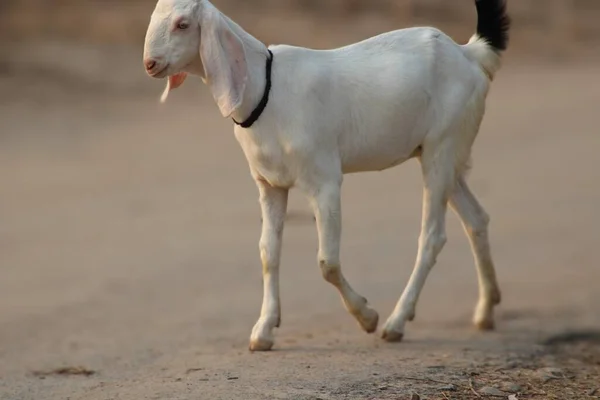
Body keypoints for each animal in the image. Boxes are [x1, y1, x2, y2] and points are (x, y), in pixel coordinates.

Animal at [142, 0, 510, 350]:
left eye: (182, 24)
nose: (149, 63)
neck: (266, 89)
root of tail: (468, 54)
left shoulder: (325, 182)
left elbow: (327, 262)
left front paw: (367, 317)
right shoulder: (270, 186)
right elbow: (268, 253)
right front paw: (264, 330)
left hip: (441, 148)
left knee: (433, 235)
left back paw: (395, 322)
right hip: (442, 154)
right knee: (476, 218)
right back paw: (485, 310)